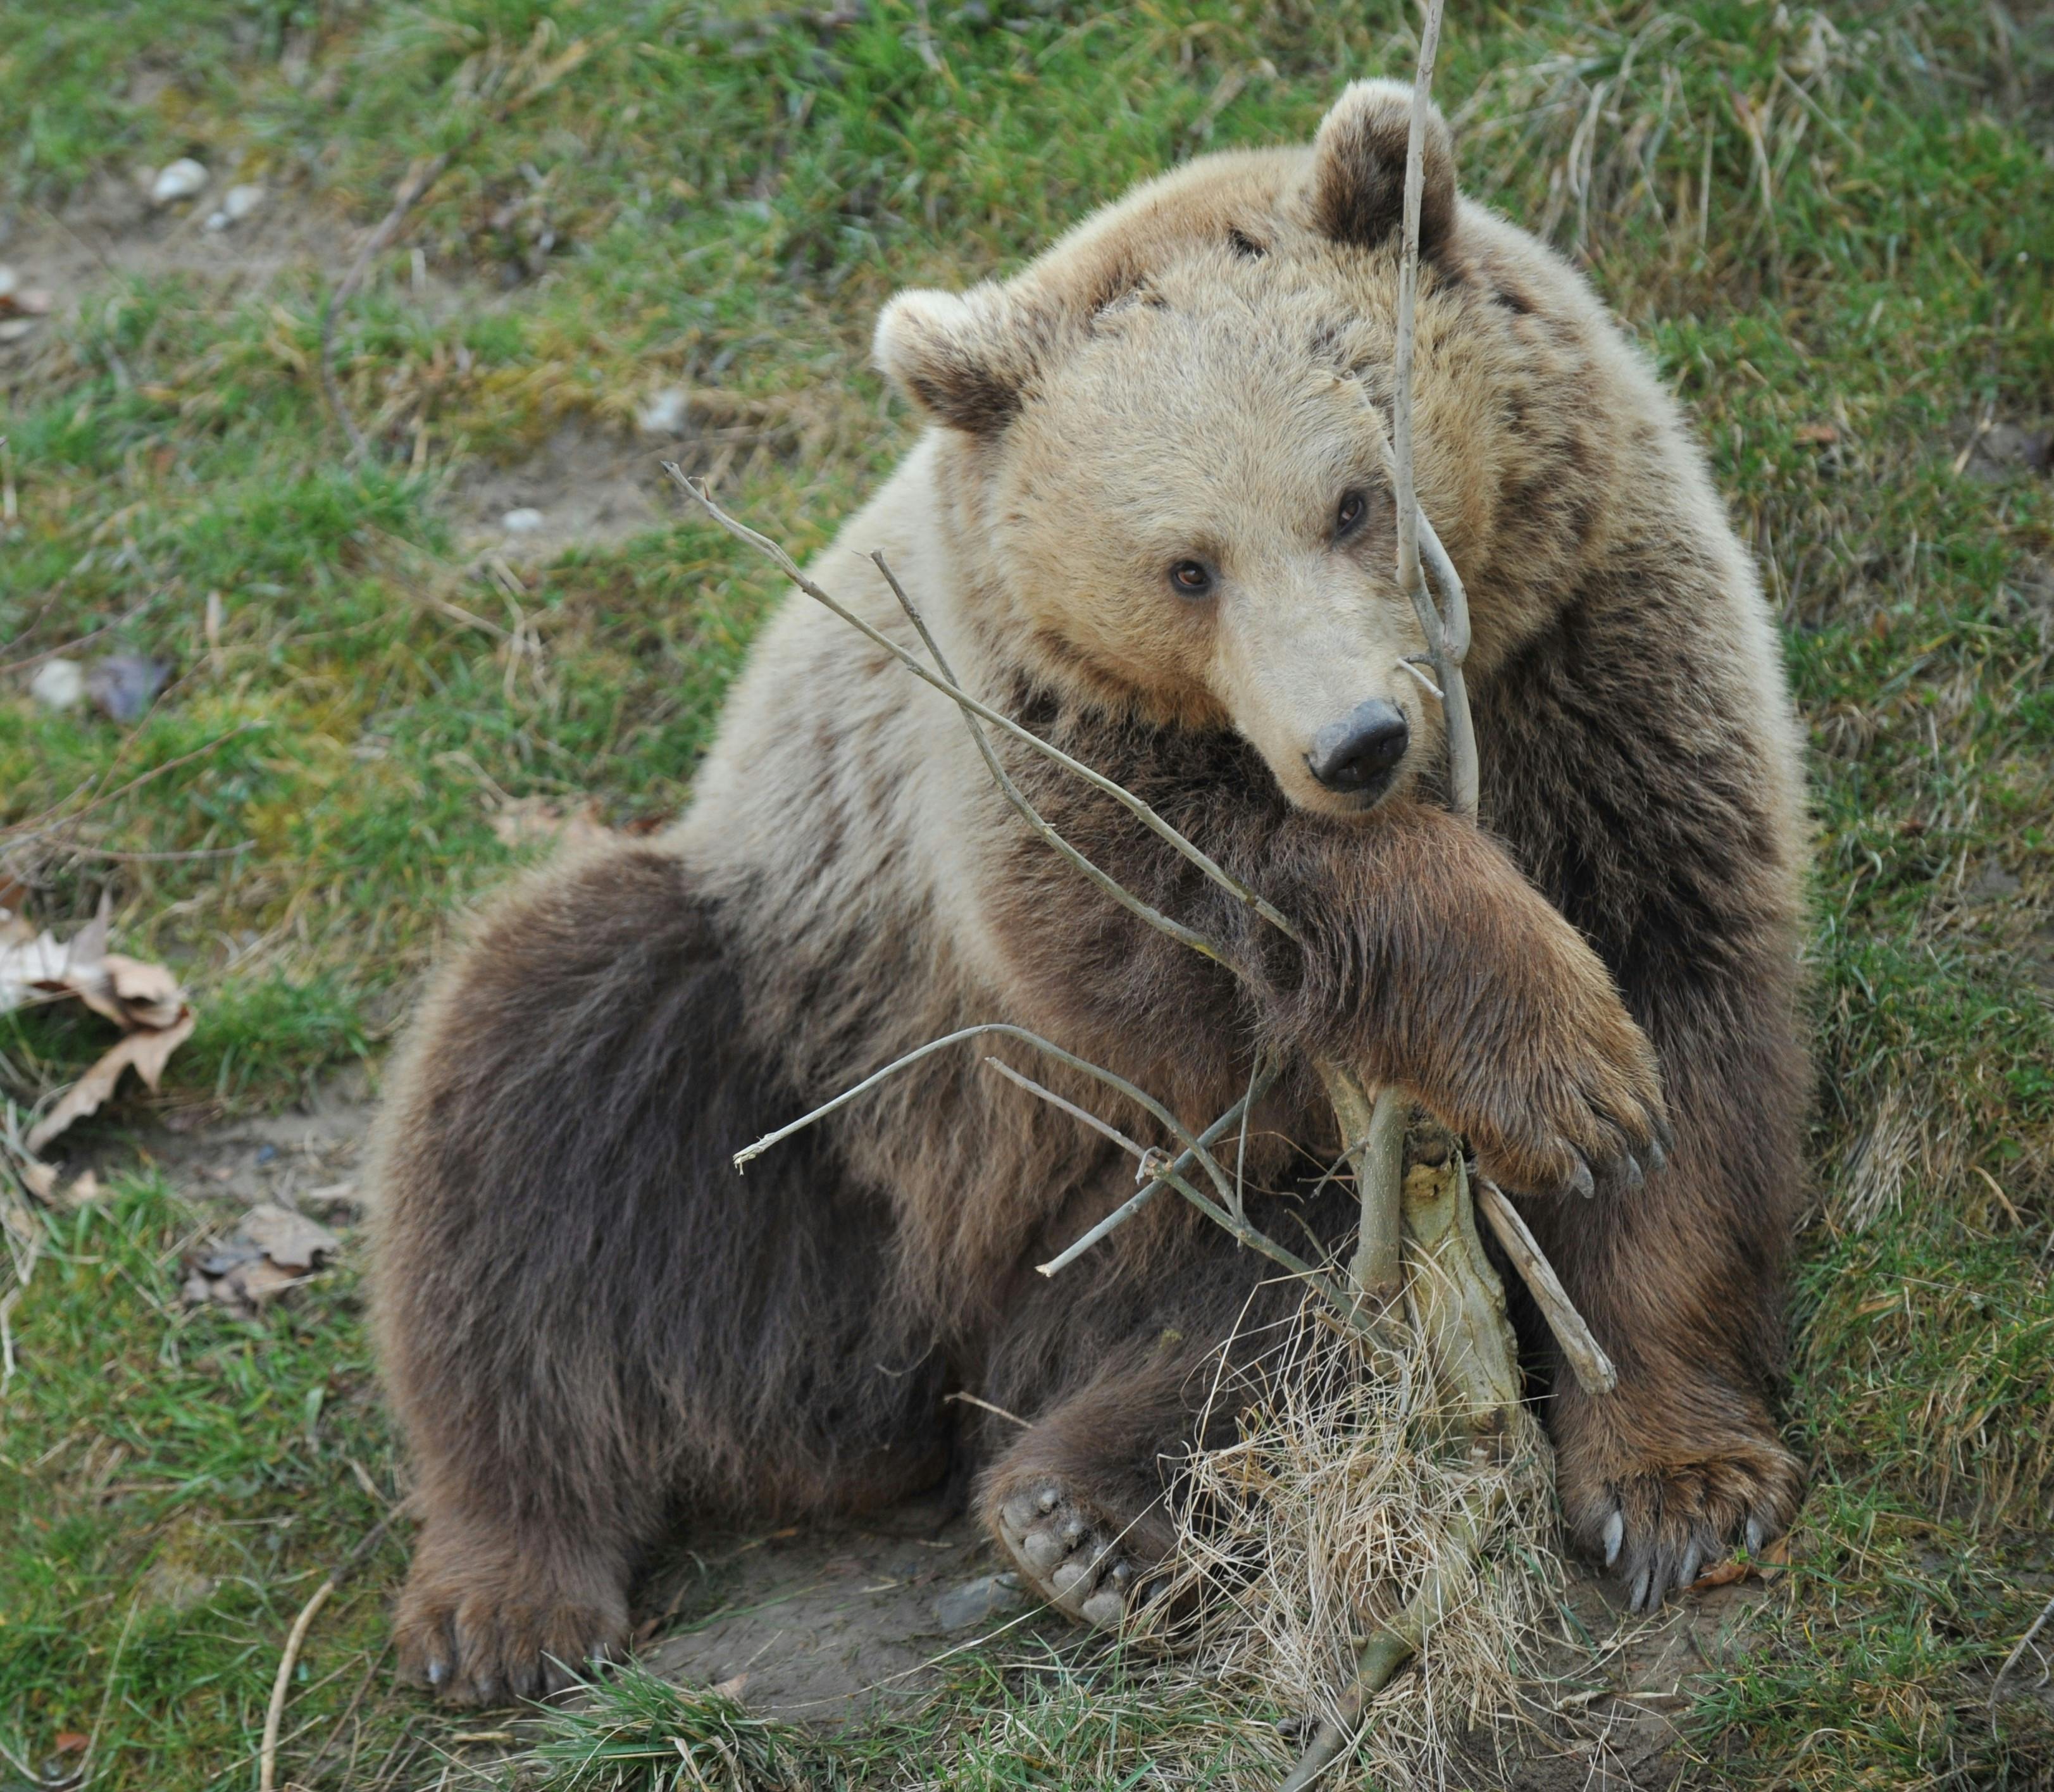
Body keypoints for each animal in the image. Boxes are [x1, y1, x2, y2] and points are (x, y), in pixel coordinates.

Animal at [370, 87, 1799, 1710]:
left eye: (1355, 499)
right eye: (1185, 567)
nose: (1357, 741)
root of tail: (913, 1367)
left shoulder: (1601, 660)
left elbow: (1689, 1006)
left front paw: (1676, 1472)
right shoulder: (1025, 753)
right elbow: (1162, 921)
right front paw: (1552, 1054)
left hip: (1111, 1212)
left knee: (1276, 1300)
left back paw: (1090, 1519)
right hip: (809, 1046)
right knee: (540, 1111)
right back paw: (507, 1593)